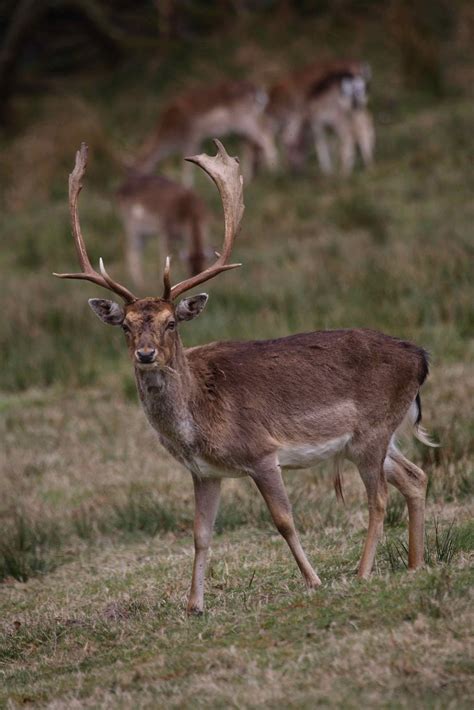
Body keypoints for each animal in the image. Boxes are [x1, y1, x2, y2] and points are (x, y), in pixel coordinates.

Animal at [54, 142, 434, 616]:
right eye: (125, 325)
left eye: (170, 323)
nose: (145, 354)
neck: (196, 424)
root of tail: (420, 357)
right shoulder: (205, 472)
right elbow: (200, 534)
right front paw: (193, 605)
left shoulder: (261, 452)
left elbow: (284, 520)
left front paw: (313, 580)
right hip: (378, 437)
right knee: (415, 476)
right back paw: (415, 565)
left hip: (371, 431)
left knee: (379, 497)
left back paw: (364, 573)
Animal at [131, 79, 278, 185]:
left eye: (136, 171)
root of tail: (260, 92)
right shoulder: (197, 139)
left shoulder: (191, 136)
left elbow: (188, 165)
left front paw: (188, 185)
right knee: (252, 142)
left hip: (244, 120)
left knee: (264, 133)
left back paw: (274, 170)